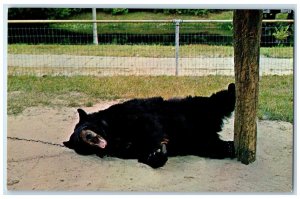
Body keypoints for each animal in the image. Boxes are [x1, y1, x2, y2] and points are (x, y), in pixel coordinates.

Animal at [63, 83, 237, 169]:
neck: (112, 134)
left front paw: (159, 145)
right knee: (215, 147)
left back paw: (232, 88)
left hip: (196, 108)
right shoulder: (123, 150)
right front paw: (156, 155)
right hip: (201, 143)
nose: (87, 136)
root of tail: (211, 129)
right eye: (79, 143)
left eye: (83, 126)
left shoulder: (129, 114)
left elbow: (148, 125)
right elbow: (139, 153)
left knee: (218, 101)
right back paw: (230, 147)